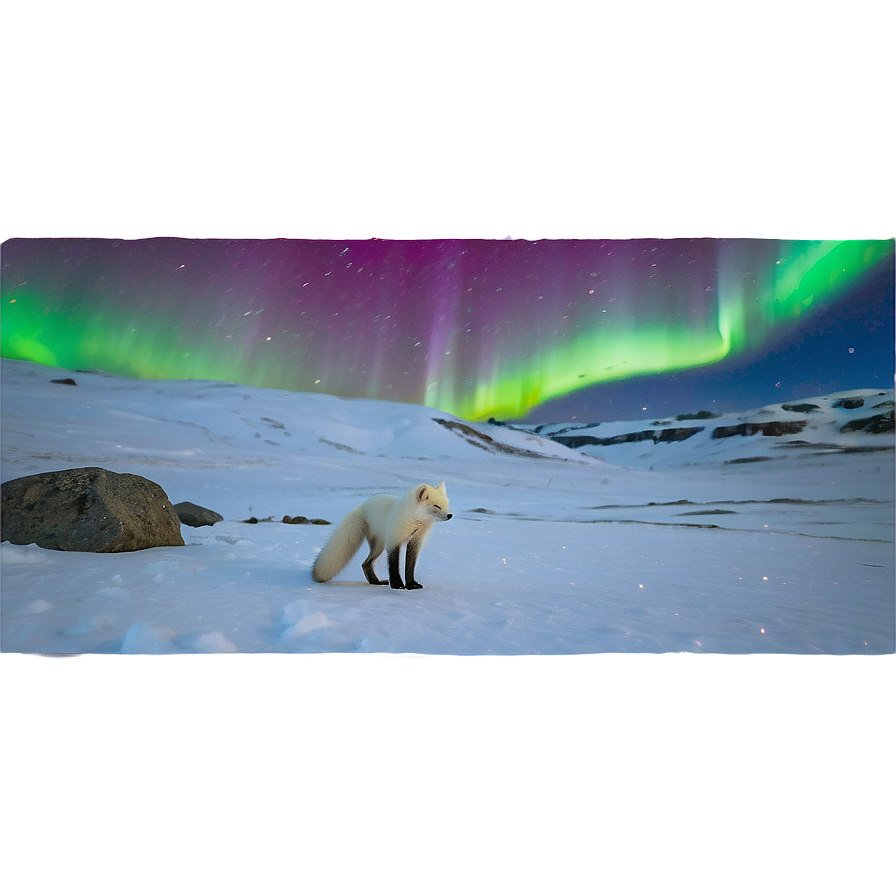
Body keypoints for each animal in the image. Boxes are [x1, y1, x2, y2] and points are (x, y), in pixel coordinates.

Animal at [312, 484, 452, 588]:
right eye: (436, 506)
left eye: (447, 504)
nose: (450, 515)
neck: (415, 524)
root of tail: (361, 507)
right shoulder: (393, 540)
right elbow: (394, 565)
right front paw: (397, 585)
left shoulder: (415, 542)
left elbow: (410, 566)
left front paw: (411, 585)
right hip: (381, 546)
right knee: (366, 563)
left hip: (378, 547)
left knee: (365, 564)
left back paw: (375, 582)